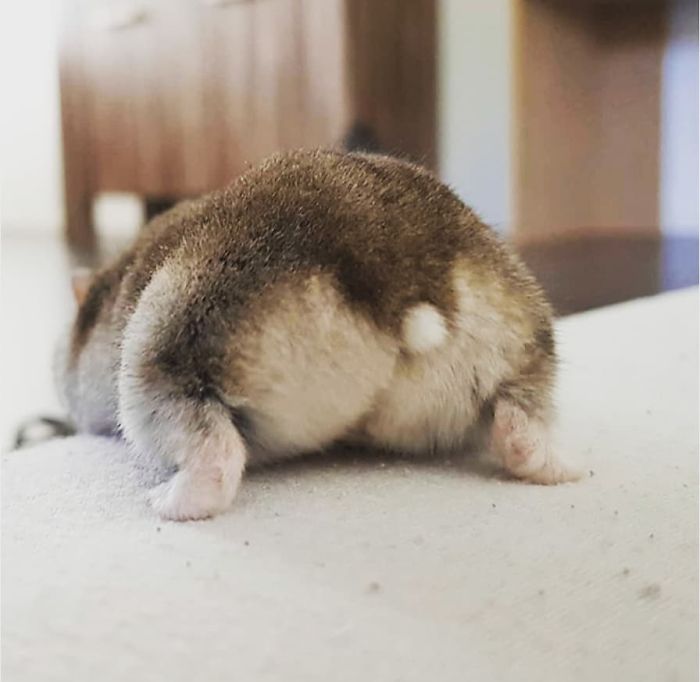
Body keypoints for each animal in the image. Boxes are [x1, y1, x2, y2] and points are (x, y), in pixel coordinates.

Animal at [56, 150, 580, 520]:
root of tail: (403, 281)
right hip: (521, 345)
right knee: (521, 427)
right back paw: (566, 469)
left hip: (167, 350)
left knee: (216, 454)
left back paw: (165, 501)